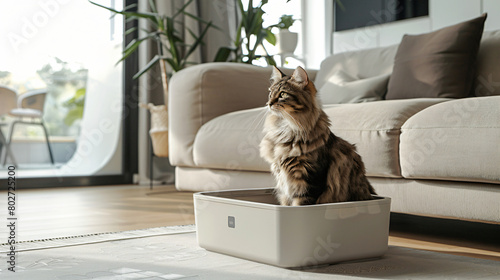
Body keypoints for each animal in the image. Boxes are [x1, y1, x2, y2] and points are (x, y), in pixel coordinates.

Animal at [262, 65, 376, 206]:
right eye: (270, 93)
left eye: (283, 94)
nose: (268, 103)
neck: (286, 128)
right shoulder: (284, 188)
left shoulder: (309, 182)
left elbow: (299, 204)